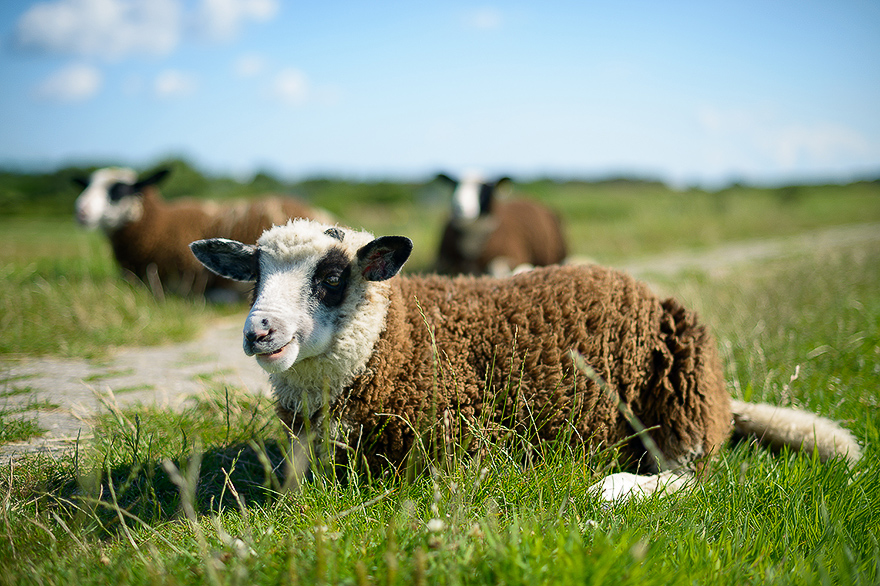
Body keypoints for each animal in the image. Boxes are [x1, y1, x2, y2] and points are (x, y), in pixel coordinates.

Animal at [191, 218, 860, 498]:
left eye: (331, 279)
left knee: (690, 476)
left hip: (678, 389)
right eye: (253, 277)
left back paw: (614, 489)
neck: (396, 338)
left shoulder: (460, 448)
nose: (260, 332)